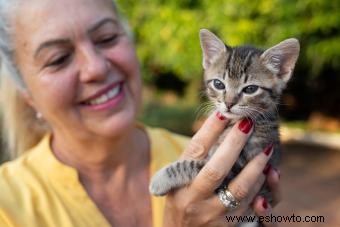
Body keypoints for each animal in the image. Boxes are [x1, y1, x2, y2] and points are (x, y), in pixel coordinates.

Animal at [150, 28, 298, 202]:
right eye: (218, 84)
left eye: (250, 89)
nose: (228, 103)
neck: (232, 124)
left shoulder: (238, 165)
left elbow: (192, 165)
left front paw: (160, 179)